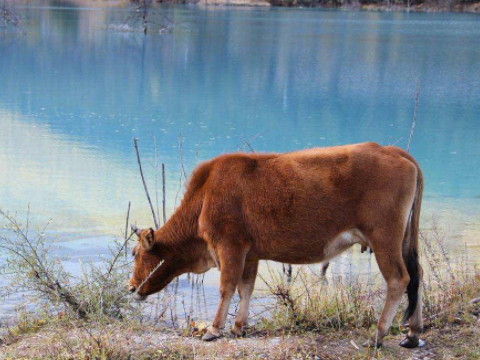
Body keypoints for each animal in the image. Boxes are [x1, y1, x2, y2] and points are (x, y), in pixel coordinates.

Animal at [127, 143, 424, 348]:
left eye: (135, 253)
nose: (130, 287)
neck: (205, 196)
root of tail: (392, 150)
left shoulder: (229, 246)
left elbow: (227, 287)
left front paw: (214, 329)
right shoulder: (250, 253)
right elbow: (246, 288)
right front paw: (238, 326)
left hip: (384, 238)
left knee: (399, 279)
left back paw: (377, 335)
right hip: (403, 240)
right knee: (416, 276)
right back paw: (411, 334)